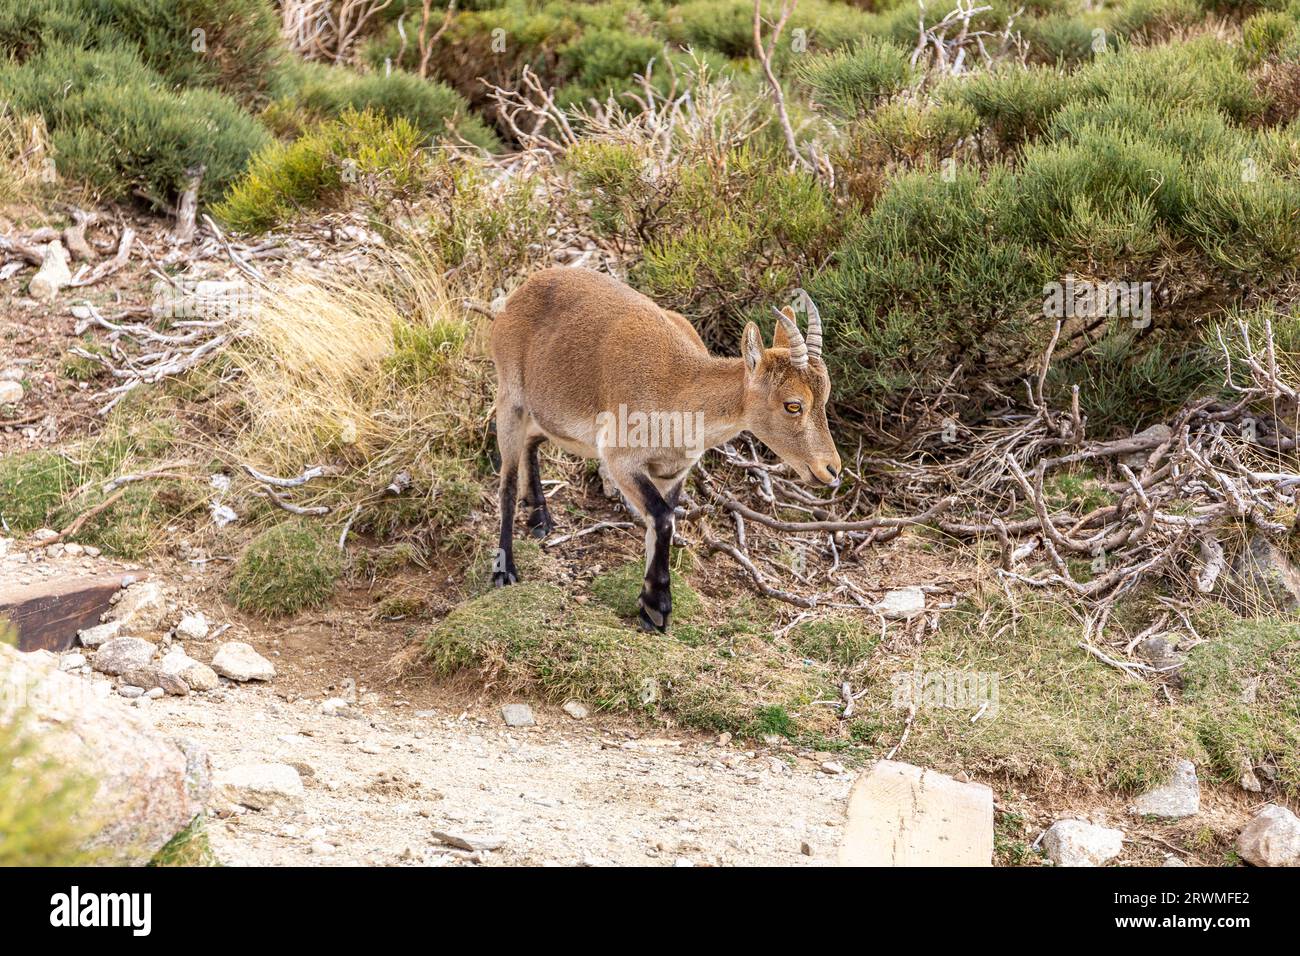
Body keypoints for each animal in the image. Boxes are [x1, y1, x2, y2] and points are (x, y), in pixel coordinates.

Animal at [489, 267, 840, 633]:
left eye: (825, 395)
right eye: (793, 405)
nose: (831, 469)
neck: (678, 391)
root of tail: (521, 292)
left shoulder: (673, 471)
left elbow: (660, 524)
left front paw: (648, 605)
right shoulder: (620, 460)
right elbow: (661, 518)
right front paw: (658, 607)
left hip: (552, 417)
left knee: (532, 441)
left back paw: (539, 516)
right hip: (510, 398)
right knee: (506, 481)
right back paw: (505, 569)